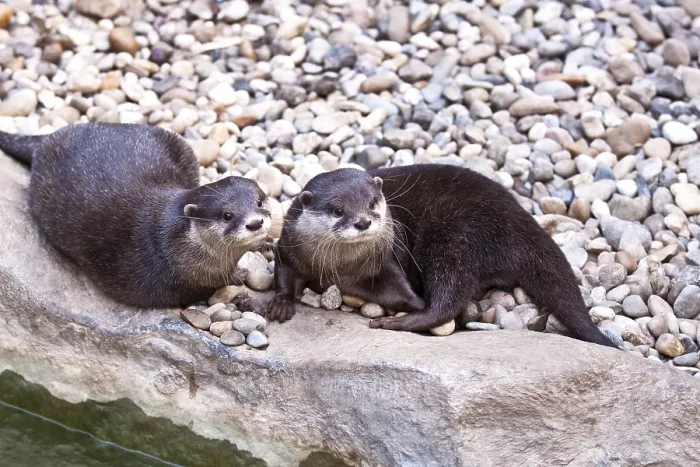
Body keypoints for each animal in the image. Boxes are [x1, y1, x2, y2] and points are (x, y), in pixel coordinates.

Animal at [0, 122, 272, 308]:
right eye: (227, 215)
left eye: (259, 201)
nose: (255, 222)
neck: (169, 249)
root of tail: (51, 137)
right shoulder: (183, 285)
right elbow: (211, 287)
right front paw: (238, 278)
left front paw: (263, 243)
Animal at [267, 165, 618, 348]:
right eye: (338, 210)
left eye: (372, 202)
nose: (363, 221)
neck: (341, 269)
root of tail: (520, 222)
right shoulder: (289, 246)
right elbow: (283, 274)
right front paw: (281, 303)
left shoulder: (388, 260)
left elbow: (410, 292)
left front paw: (414, 305)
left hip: (451, 237)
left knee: (449, 297)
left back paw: (395, 322)